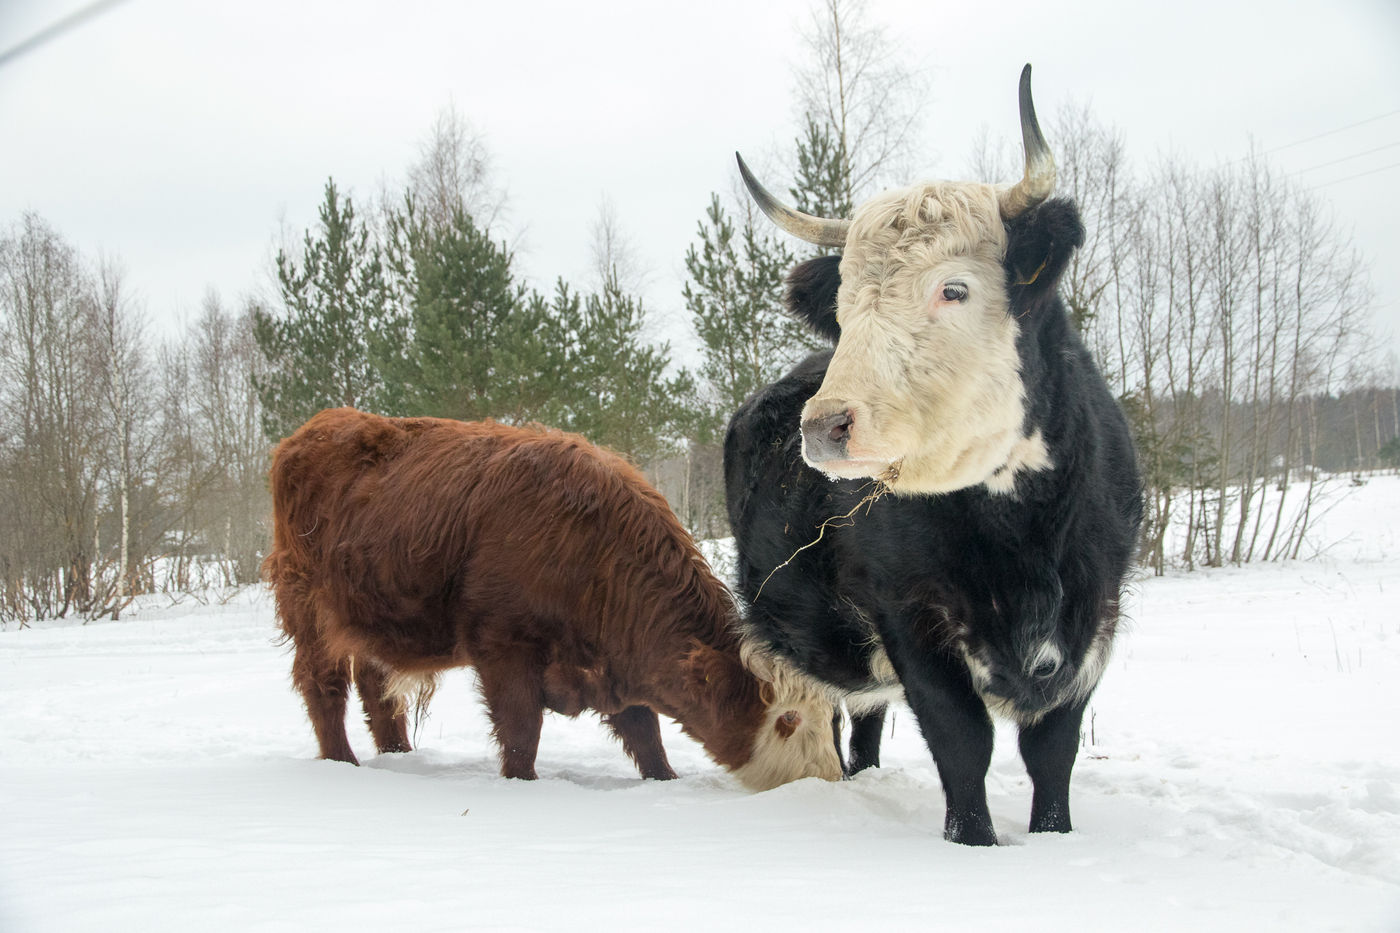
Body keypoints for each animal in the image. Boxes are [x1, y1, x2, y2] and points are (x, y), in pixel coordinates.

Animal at [263, 406, 834, 784]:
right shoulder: (504, 648)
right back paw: (342, 764)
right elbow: (522, 731)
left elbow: (645, 733)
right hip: (309, 610)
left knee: (378, 692)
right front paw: (523, 787)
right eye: (787, 719)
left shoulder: (618, 663)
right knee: (324, 688)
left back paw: (400, 758)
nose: (826, 780)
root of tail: (315, 428)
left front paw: (665, 780)